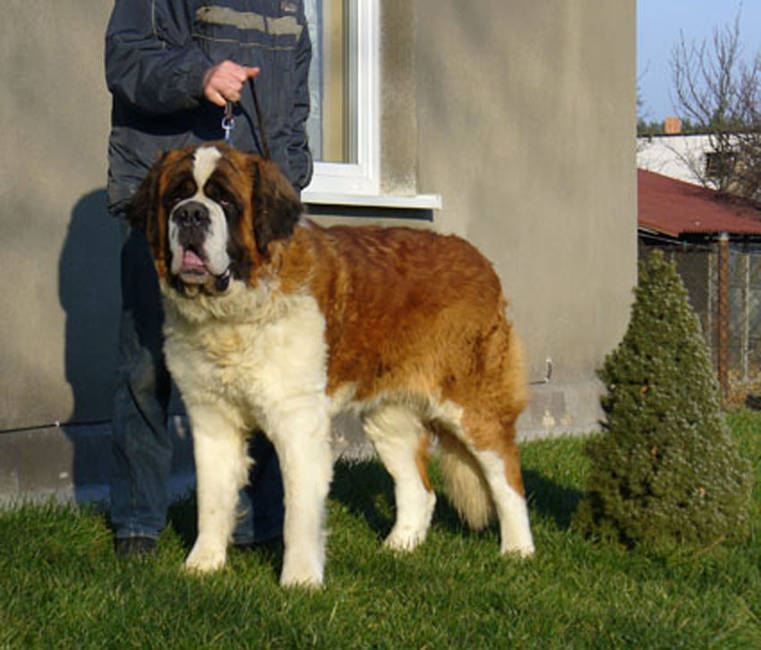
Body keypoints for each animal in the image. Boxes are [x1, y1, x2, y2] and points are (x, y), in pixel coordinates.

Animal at [128, 142, 534, 587]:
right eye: (174, 198)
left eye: (225, 202)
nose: (190, 215)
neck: (234, 314)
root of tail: (477, 258)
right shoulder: (212, 419)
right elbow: (212, 499)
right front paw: (203, 566)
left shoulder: (297, 423)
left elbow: (299, 512)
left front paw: (300, 581)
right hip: (389, 417)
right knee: (419, 489)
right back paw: (399, 546)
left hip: (471, 405)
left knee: (506, 478)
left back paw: (518, 551)